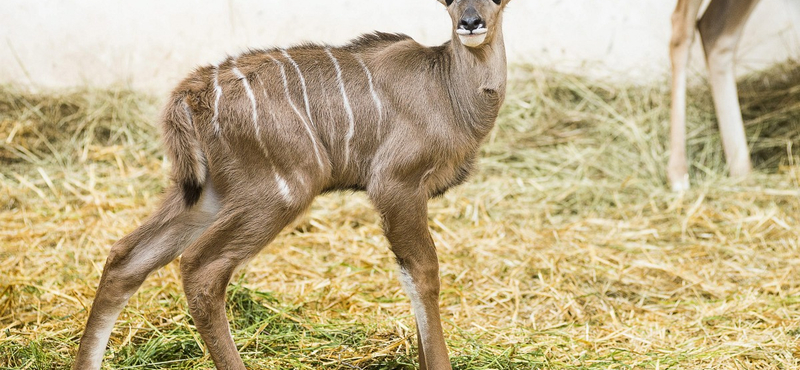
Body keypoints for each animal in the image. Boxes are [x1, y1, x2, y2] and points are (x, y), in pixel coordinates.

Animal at [75, 0, 512, 370]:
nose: (470, 22)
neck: (448, 88)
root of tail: (190, 94)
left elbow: (410, 277)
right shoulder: (395, 184)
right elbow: (423, 275)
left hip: (208, 195)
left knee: (125, 257)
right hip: (283, 190)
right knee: (200, 268)